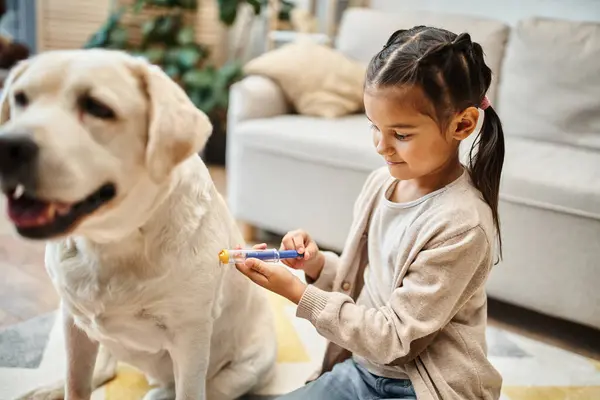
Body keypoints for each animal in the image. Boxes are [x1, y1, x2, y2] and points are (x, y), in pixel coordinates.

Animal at [0, 50, 276, 400]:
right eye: (20, 99)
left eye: (97, 107)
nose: (7, 146)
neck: (112, 244)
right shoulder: (73, 321)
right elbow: (76, 383)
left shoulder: (191, 338)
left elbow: (190, 391)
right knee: (104, 368)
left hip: (249, 367)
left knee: (207, 388)